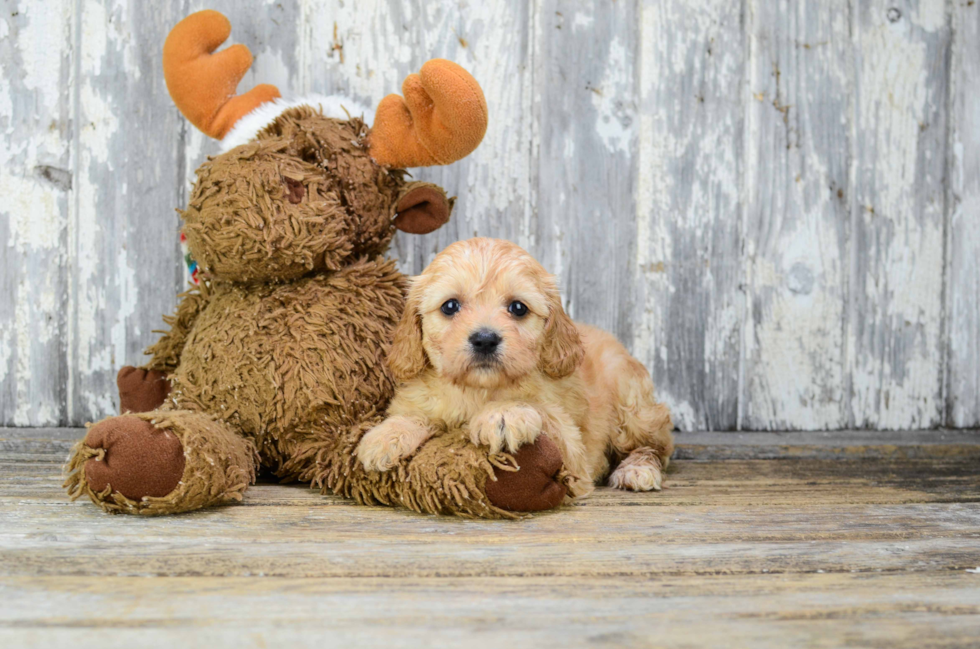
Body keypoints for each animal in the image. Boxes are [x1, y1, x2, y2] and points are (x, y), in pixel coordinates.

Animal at [358, 238, 672, 496]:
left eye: (518, 308)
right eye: (450, 306)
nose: (485, 339)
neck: (477, 391)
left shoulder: (574, 457)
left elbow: (542, 411)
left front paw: (504, 413)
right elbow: (416, 414)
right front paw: (386, 435)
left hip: (632, 406)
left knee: (656, 446)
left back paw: (637, 469)